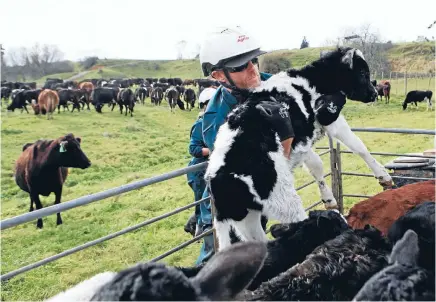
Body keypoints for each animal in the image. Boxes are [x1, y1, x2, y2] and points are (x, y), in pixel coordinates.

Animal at [206, 47, 394, 250]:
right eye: (362, 73)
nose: (374, 93)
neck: (313, 80)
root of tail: (217, 176)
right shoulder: (332, 122)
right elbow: (358, 146)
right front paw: (383, 177)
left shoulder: (303, 143)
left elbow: (317, 165)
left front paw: (329, 199)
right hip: (284, 200)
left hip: (247, 219)